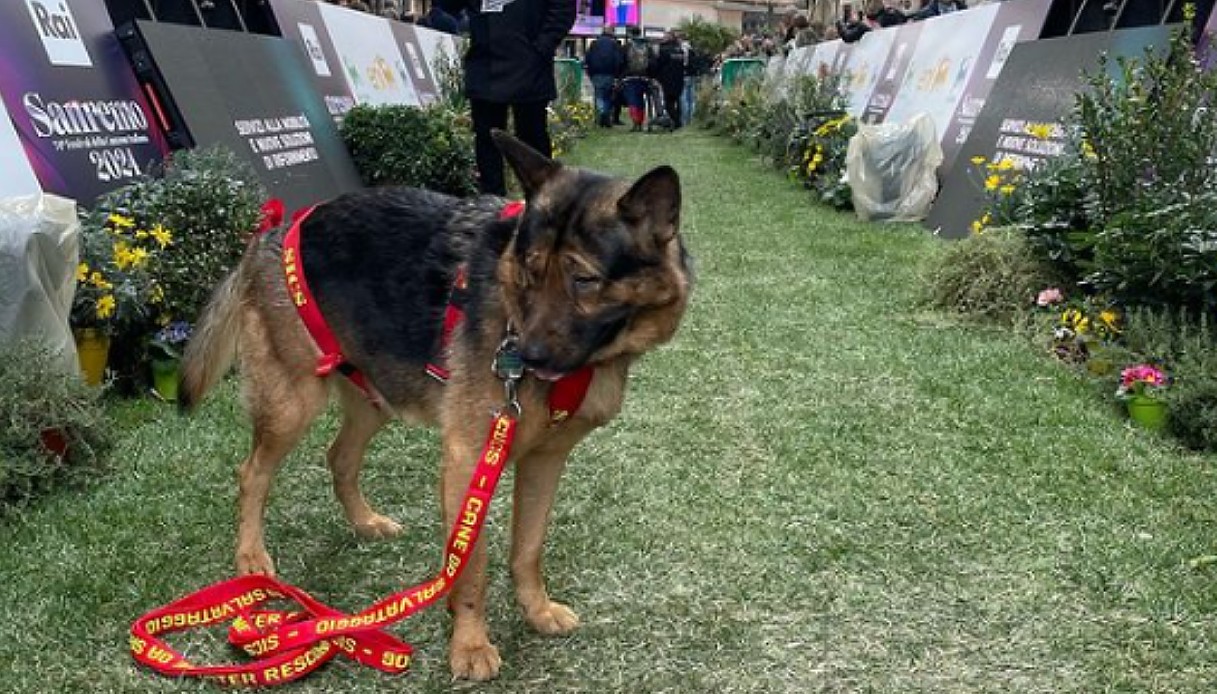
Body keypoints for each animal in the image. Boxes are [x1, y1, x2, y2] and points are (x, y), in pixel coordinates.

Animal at [180, 132, 696, 676]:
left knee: (339, 457)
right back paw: (251, 559)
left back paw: (364, 523)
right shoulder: (468, 459)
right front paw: (469, 645)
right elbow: (470, 565)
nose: (523, 356)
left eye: (585, 281)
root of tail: (272, 231)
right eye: (530, 273)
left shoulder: (545, 461)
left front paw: (535, 610)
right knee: (252, 473)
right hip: (291, 404)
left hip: (375, 394)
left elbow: (528, 547)